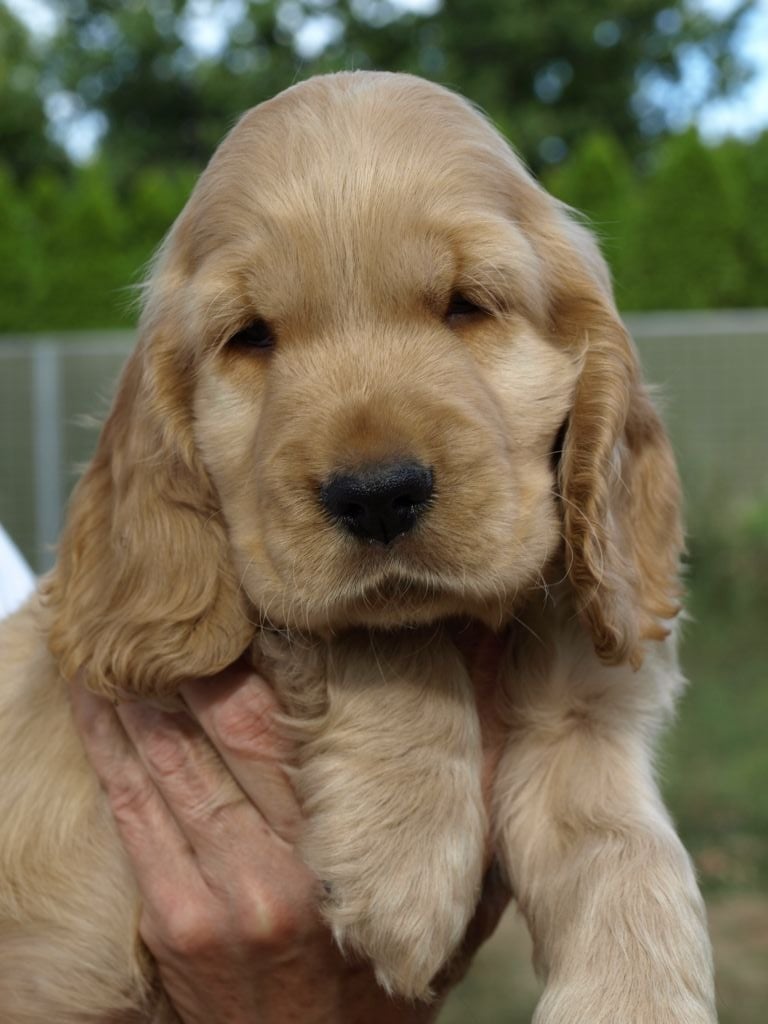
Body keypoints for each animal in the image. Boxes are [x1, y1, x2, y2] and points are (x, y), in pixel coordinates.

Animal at [0, 71, 715, 1022]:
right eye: (251, 335)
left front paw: (638, 998)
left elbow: (631, 849)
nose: (376, 495)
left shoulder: (586, 707)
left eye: (467, 304)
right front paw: (405, 861)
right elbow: (381, 635)